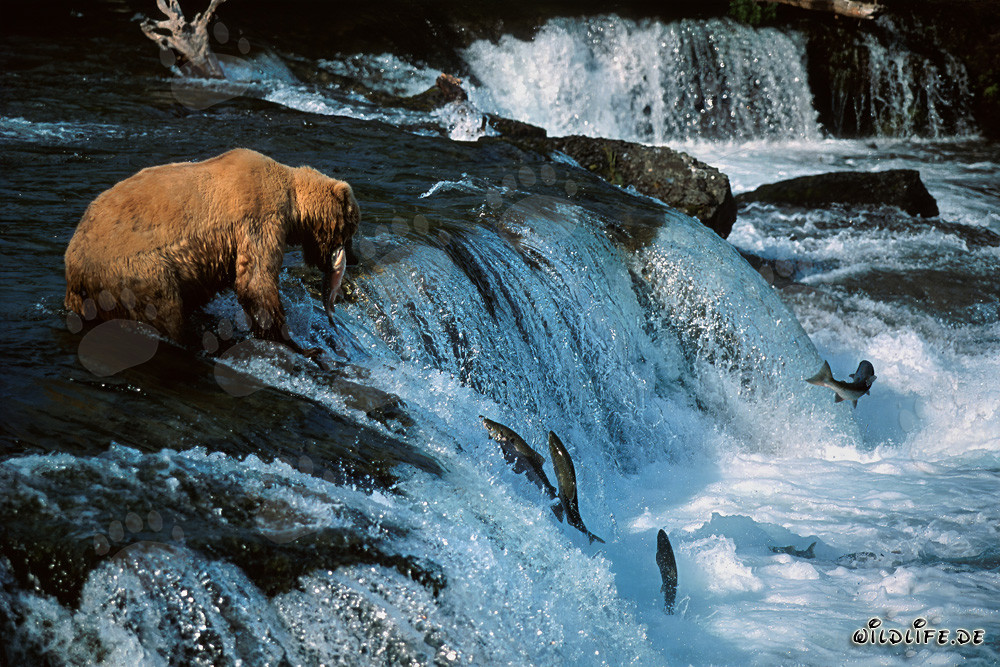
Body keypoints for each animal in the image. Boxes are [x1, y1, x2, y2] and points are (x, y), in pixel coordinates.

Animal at [64, 148, 359, 364]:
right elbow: (255, 280)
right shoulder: (259, 217)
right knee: (165, 310)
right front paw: (303, 347)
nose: (353, 259)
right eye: (352, 227)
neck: (293, 201)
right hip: (135, 271)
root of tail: (72, 267)